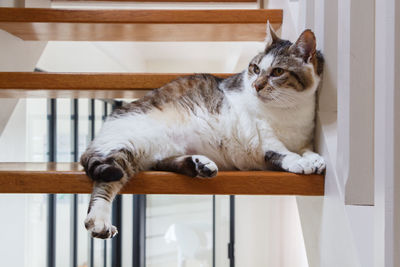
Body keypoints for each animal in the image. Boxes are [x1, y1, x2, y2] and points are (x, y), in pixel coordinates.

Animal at [80, 23, 324, 240]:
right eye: (255, 69)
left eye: (277, 72)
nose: (256, 85)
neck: (289, 111)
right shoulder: (260, 134)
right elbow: (281, 150)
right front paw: (300, 161)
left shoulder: (303, 138)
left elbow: (307, 149)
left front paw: (314, 159)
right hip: (128, 143)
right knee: (105, 181)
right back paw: (99, 221)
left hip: (152, 151)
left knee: (162, 162)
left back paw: (199, 165)